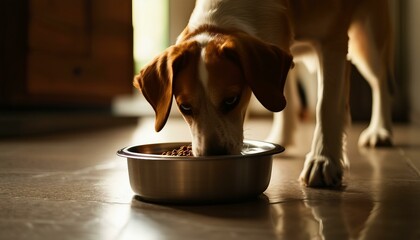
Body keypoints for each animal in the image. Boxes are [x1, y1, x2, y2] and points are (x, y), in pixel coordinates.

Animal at [135, 0, 394, 188]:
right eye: (185, 107)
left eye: (232, 99)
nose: (213, 155)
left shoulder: (331, 41)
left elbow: (326, 105)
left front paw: (323, 160)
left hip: (366, 39)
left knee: (380, 80)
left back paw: (379, 130)